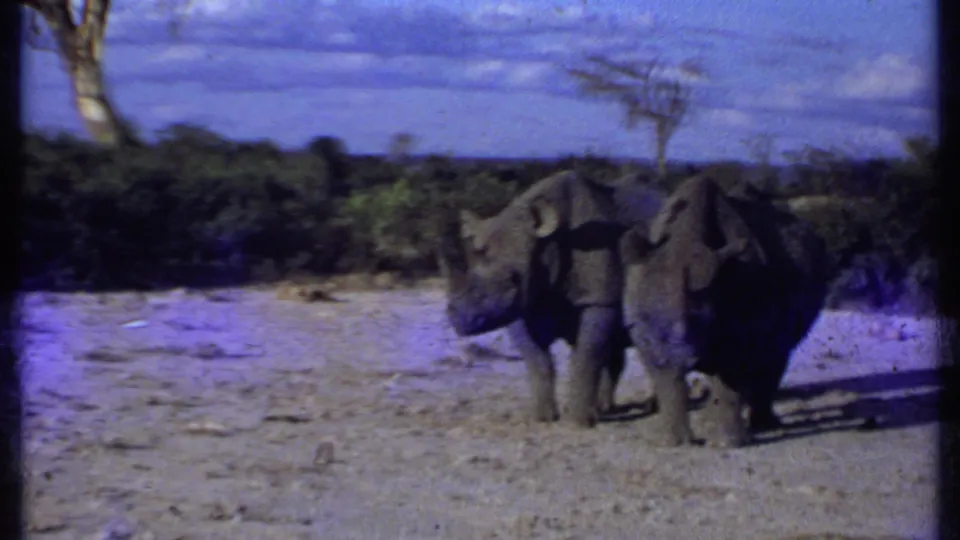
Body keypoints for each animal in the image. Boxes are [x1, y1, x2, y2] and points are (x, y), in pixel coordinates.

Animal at [438, 170, 665, 427]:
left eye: (512, 280)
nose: (461, 322)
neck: (545, 245)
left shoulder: (600, 299)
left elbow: (586, 355)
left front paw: (578, 422)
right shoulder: (522, 307)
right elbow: (537, 360)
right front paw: (542, 417)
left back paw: (650, 407)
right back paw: (606, 408)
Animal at [619, 175, 830, 448]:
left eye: (705, 320)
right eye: (644, 318)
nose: (681, 358)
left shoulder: (742, 330)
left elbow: (732, 377)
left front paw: (727, 443)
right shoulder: (646, 337)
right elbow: (668, 384)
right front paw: (673, 443)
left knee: (777, 352)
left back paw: (762, 426)